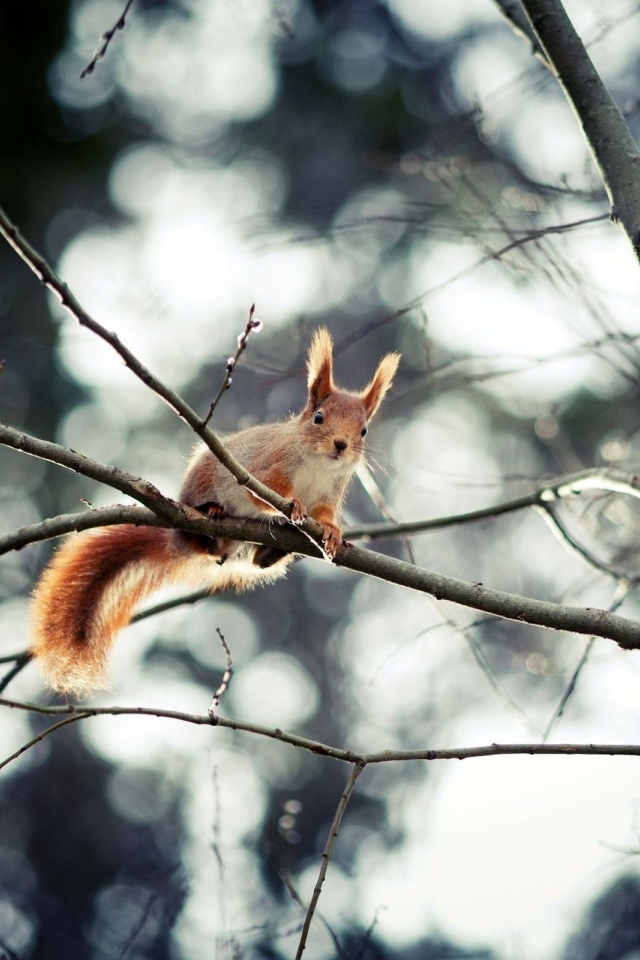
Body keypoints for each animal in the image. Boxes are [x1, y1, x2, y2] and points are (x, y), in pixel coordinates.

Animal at [32, 326, 400, 692]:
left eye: (363, 430)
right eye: (319, 418)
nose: (341, 445)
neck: (319, 464)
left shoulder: (329, 493)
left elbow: (323, 515)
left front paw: (333, 532)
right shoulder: (264, 470)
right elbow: (264, 495)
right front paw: (292, 505)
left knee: (252, 561)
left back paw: (269, 553)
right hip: (200, 488)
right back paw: (212, 514)